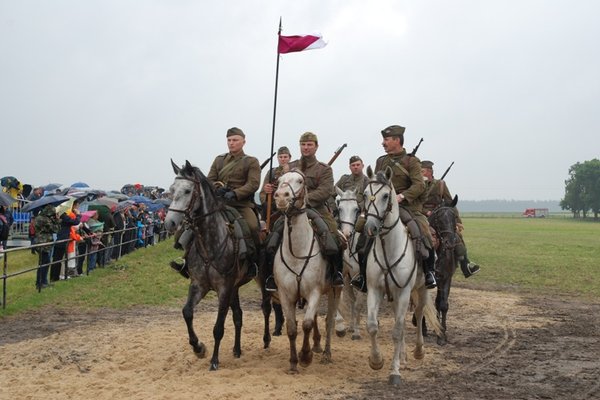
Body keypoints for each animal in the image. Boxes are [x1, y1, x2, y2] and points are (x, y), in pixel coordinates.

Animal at [274, 170, 342, 376]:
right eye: (278, 181)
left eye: (300, 181)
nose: (281, 197)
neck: (297, 251)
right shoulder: (285, 295)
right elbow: (292, 328)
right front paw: (293, 363)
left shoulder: (314, 292)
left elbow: (306, 324)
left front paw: (305, 357)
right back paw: (317, 345)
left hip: (335, 291)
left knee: (328, 321)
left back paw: (326, 353)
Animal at [360, 166, 440, 384]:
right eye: (364, 194)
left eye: (386, 196)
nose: (370, 228)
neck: (389, 247)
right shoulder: (375, 290)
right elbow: (372, 326)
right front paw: (376, 361)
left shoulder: (404, 292)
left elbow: (397, 331)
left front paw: (394, 372)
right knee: (401, 320)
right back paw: (403, 358)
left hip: (420, 290)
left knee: (418, 314)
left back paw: (417, 352)